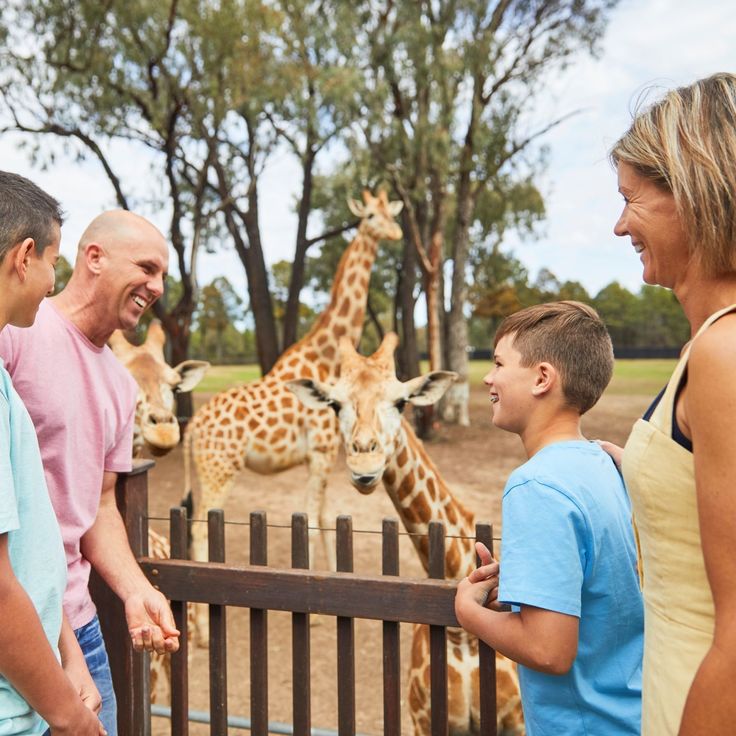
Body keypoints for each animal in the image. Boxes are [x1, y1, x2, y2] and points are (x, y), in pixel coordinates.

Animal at [183, 189, 403, 643]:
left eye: (391, 212)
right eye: (371, 216)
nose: (396, 232)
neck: (326, 356)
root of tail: (193, 426)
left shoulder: (326, 456)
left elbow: (323, 516)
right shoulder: (321, 452)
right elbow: (315, 521)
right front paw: (318, 611)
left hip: (205, 469)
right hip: (220, 470)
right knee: (197, 529)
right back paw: (203, 634)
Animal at [287, 334, 524, 735]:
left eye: (402, 402)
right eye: (335, 404)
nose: (364, 466)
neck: (463, 636)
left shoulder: (518, 721)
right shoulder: (422, 720)